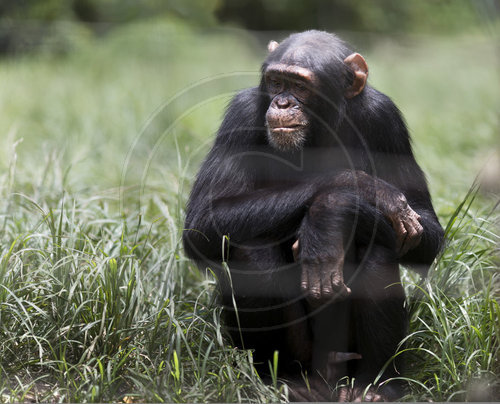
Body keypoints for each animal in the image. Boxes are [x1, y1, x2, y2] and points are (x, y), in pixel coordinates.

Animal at [182, 30, 444, 400]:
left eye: (301, 86)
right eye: (276, 82)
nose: (282, 103)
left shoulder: (386, 119)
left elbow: (424, 227)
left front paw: (329, 214)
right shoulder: (240, 116)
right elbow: (203, 221)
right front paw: (354, 191)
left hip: (347, 353)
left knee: (379, 246)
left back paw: (375, 386)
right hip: (305, 354)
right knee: (249, 247)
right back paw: (284, 380)